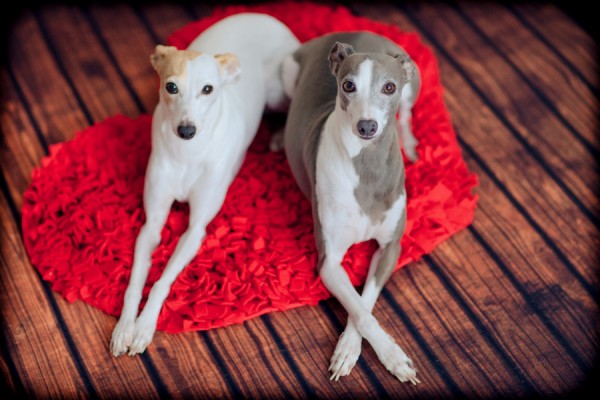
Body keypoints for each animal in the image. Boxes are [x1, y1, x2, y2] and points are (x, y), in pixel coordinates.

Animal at [110, 13, 300, 357]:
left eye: (208, 89)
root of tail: (265, 16)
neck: (187, 153)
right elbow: (135, 283)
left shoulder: (196, 229)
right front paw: (125, 328)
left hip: (280, 90)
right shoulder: (151, 224)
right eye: (171, 86)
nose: (186, 130)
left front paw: (144, 326)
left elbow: (161, 282)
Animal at [278, 31, 421, 383]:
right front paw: (392, 357)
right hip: (287, 74)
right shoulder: (328, 262)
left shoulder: (390, 248)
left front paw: (351, 347)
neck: (366, 168)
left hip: (414, 85)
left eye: (389, 87)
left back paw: (410, 143)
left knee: (408, 114)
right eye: (348, 85)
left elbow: (364, 301)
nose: (367, 127)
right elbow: (360, 310)